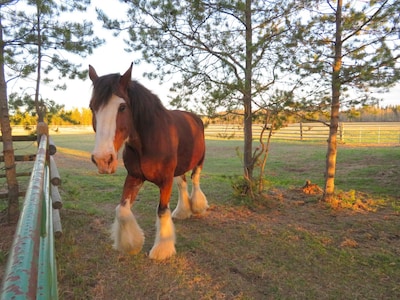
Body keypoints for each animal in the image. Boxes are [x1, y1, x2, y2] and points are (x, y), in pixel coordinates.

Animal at [88, 63, 208, 260]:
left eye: (122, 107)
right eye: (92, 107)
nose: (103, 160)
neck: (149, 140)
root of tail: (194, 117)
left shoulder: (165, 180)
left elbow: (162, 210)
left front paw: (162, 250)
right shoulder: (134, 176)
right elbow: (121, 209)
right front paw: (132, 244)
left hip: (199, 161)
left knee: (195, 180)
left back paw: (198, 206)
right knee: (182, 184)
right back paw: (182, 211)